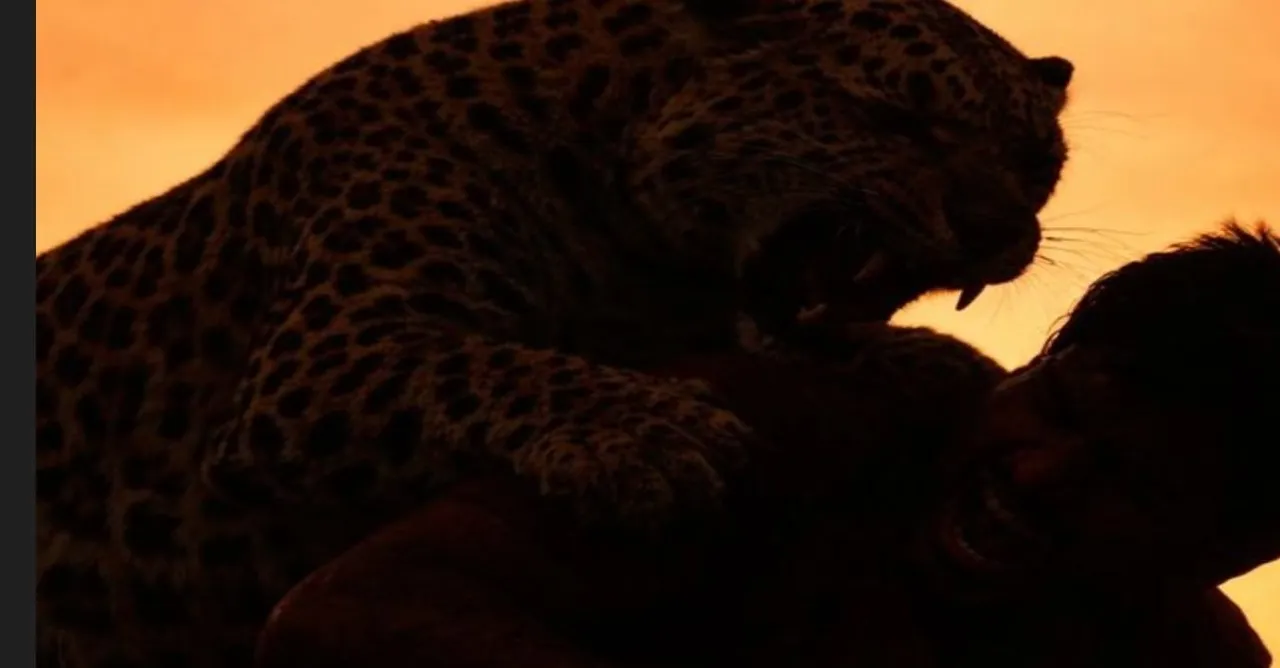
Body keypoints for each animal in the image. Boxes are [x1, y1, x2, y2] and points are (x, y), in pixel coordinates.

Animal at [35, 0, 1075, 666]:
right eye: (894, 115)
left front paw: (937, 359)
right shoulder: (324, 354)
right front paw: (653, 436)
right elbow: (483, 363)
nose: (997, 230)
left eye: (1035, 161)